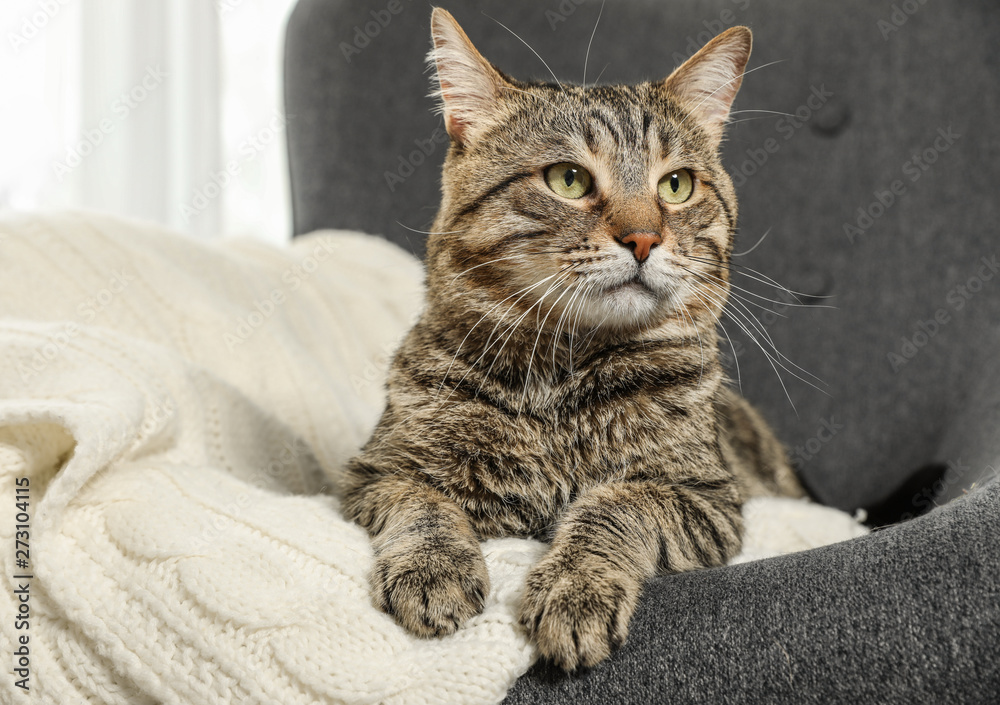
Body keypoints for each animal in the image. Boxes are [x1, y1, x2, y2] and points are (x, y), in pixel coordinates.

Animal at [344, 9, 804, 672]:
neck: (560, 375)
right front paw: (434, 568)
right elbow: (424, 504)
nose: (643, 238)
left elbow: (615, 506)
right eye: (568, 179)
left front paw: (575, 586)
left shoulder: (705, 496)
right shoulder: (376, 471)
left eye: (677, 186)